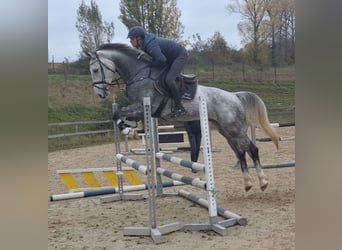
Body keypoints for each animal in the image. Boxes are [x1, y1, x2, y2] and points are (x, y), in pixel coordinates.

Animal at [87, 43, 280, 191]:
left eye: (95, 69)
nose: (100, 94)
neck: (139, 75)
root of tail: (235, 96)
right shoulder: (139, 110)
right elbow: (118, 115)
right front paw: (128, 128)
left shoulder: (142, 107)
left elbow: (118, 114)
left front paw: (127, 129)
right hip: (226, 131)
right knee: (240, 152)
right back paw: (248, 183)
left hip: (235, 129)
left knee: (252, 149)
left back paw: (263, 182)